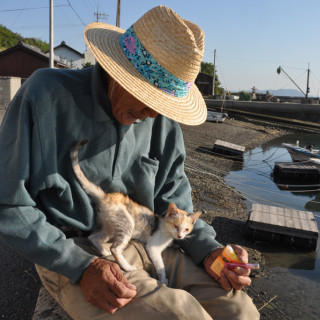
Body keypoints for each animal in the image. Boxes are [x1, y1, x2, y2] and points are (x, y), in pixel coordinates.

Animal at [70, 141, 201, 284]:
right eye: (176, 226)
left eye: (186, 229)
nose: (180, 236)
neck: (167, 232)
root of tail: (106, 196)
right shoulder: (152, 248)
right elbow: (160, 266)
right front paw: (163, 280)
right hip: (127, 223)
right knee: (114, 248)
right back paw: (127, 266)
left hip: (110, 227)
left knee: (93, 237)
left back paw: (103, 252)